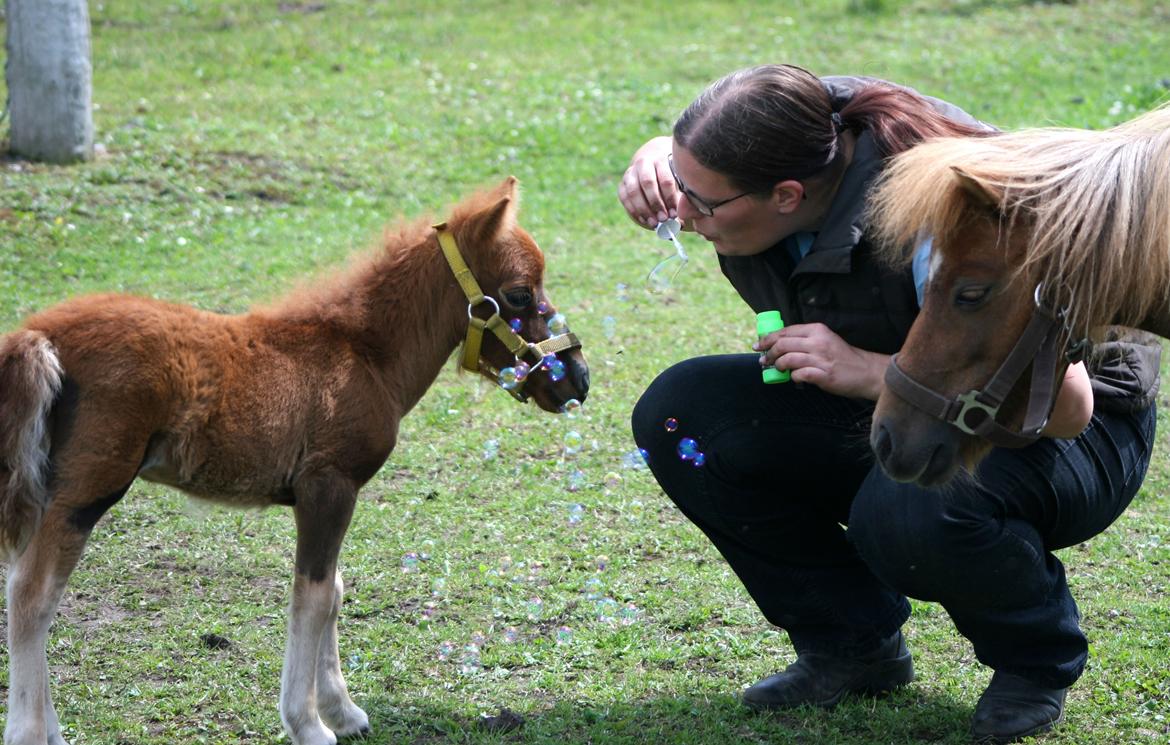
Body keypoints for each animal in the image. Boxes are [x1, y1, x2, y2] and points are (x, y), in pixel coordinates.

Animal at [0, 176, 590, 745]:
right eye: (519, 293)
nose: (579, 379)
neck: (364, 354)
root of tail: (39, 335)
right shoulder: (328, 486)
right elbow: (312, 597)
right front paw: (309, 725)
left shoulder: (328, 495)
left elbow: (334, 590)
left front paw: (344, 711)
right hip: (86, 491)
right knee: (31, 598)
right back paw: (32, 733)